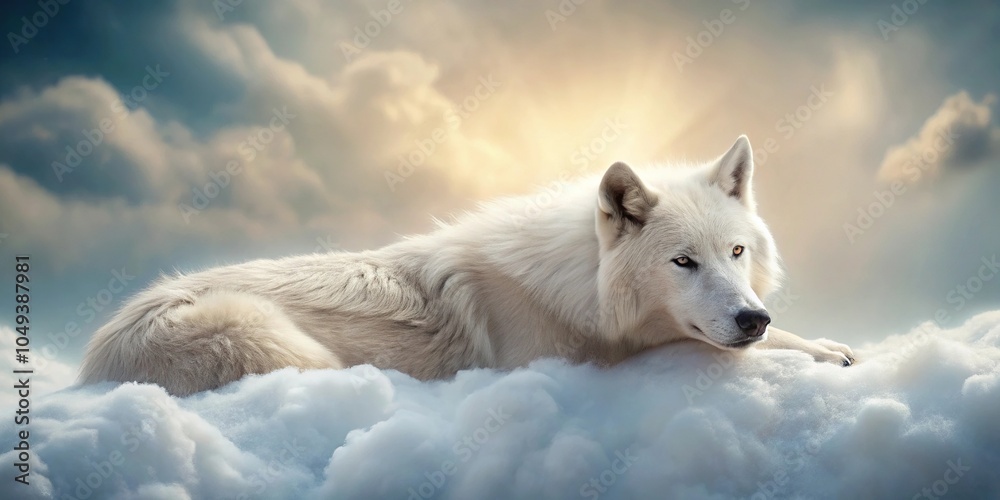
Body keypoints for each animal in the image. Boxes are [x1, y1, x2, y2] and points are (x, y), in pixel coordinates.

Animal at [79, 136, 854, 396]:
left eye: (736, 253)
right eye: (682, 262)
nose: (752, 318)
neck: (579, 286)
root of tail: (93, 359)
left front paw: (832, 346)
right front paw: (821, 352)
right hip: (275, 342)